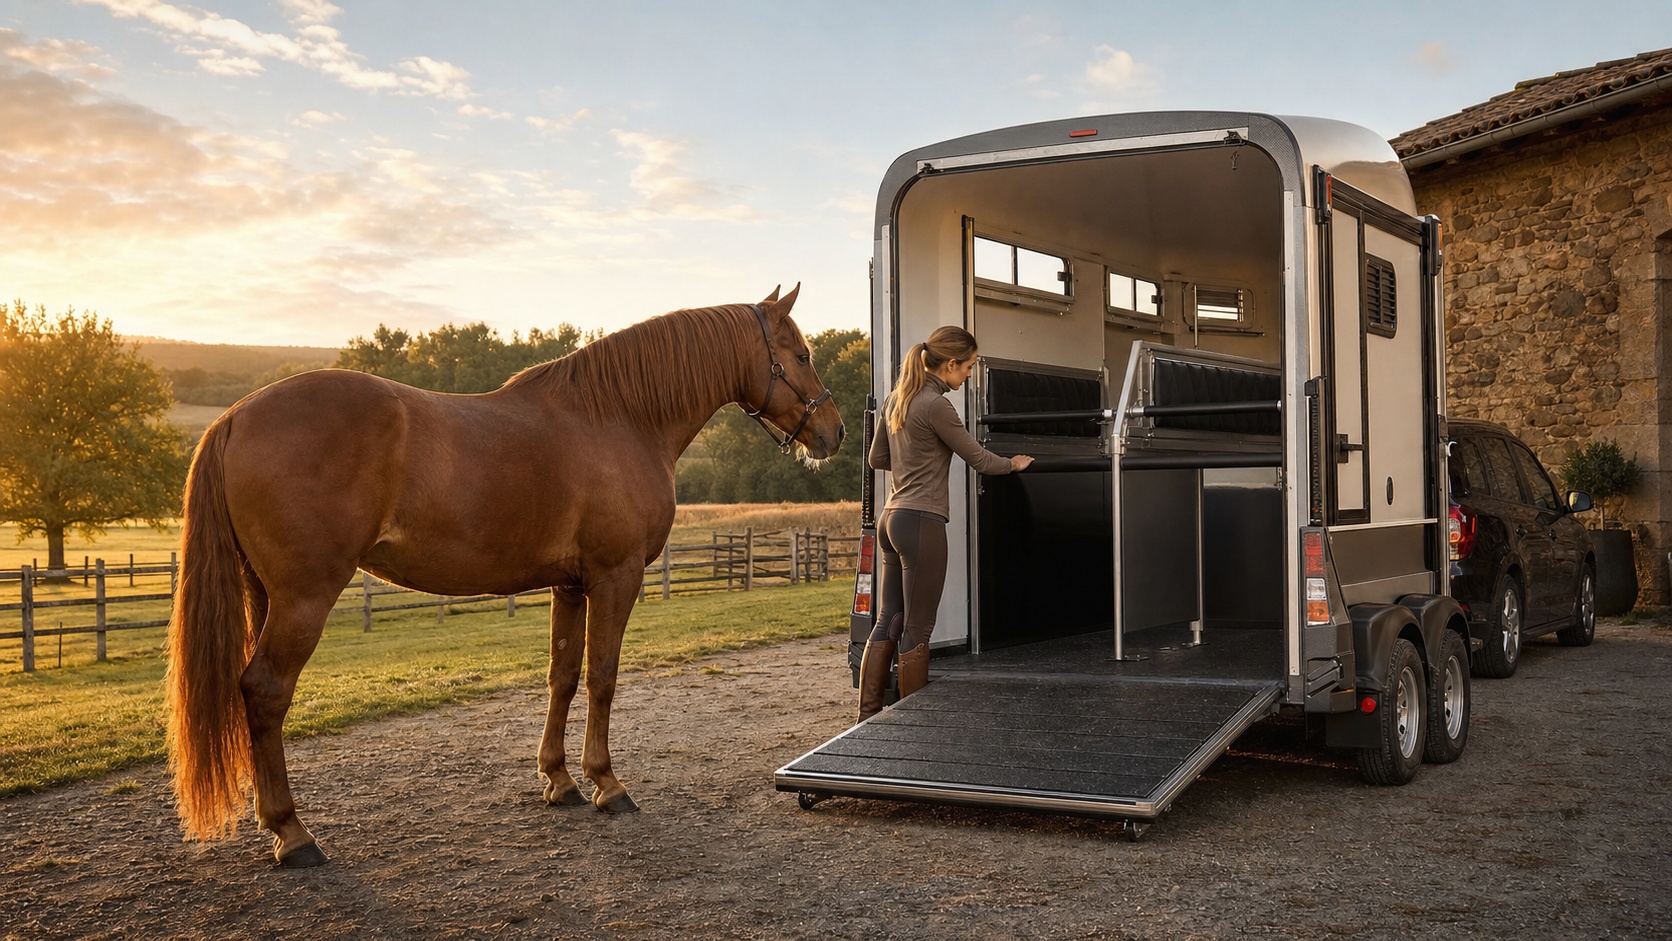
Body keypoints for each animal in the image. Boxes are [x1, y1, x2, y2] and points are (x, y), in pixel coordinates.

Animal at [165, 286, 843, 867]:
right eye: (801, 354)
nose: (834, 431)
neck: (618, 418)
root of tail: (236, 415)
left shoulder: (571, 585)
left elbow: (562, 677)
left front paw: (560, 781)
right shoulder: (615, 577)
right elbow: (602, 678)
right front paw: (608, 785)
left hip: (264, 596)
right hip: (305, 598)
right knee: (265, 691)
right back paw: (294, 834)